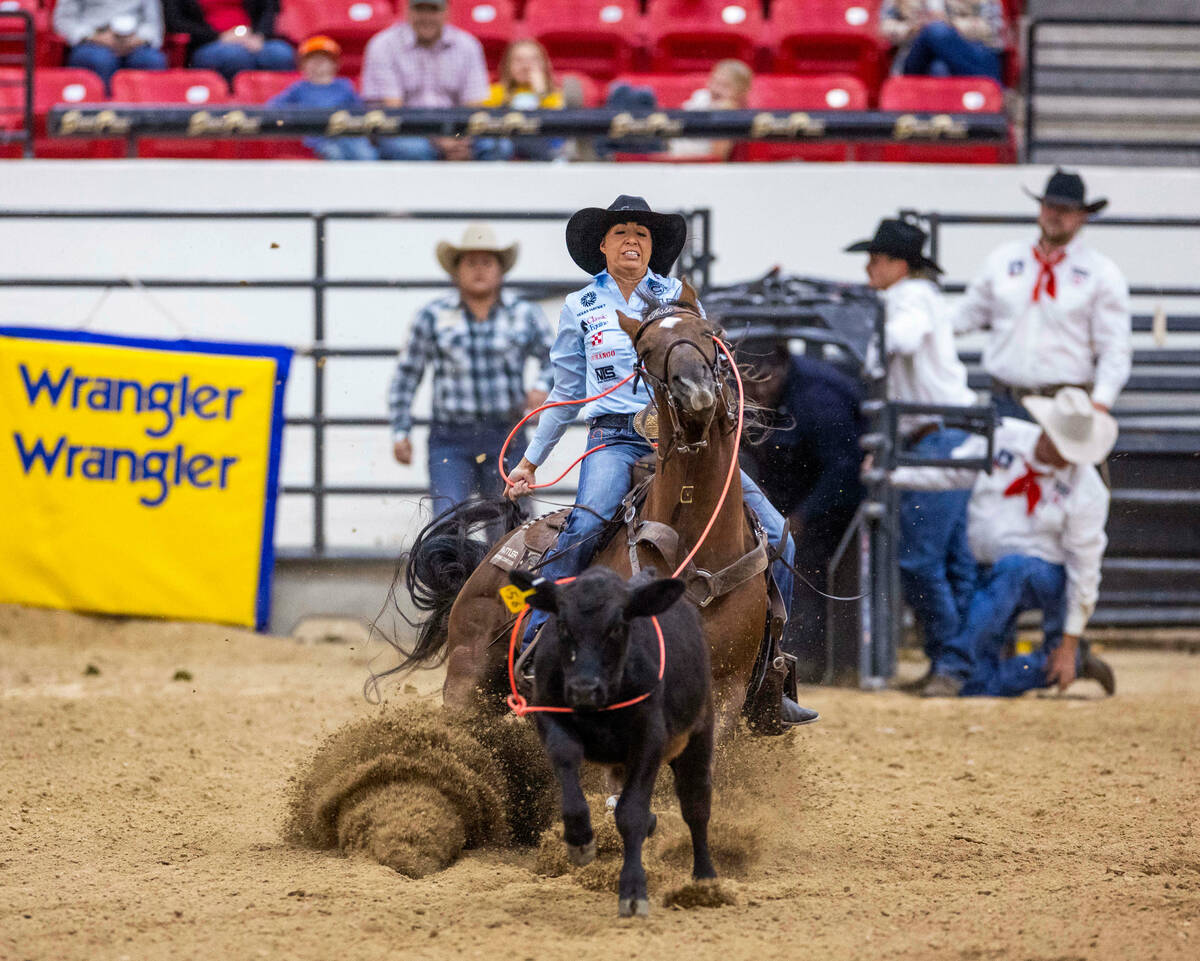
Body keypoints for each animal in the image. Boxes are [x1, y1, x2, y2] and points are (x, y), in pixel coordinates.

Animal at [511, 566, 715, 916]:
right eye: (562, 625)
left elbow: (631, 814)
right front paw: (580, 839)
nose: (583, 689)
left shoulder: (649, 738)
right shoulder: (549, 714)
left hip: (699, 736)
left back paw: (705, 879)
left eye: (617, 627)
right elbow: (566, 760)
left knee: (695, 804)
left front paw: (633, 890)